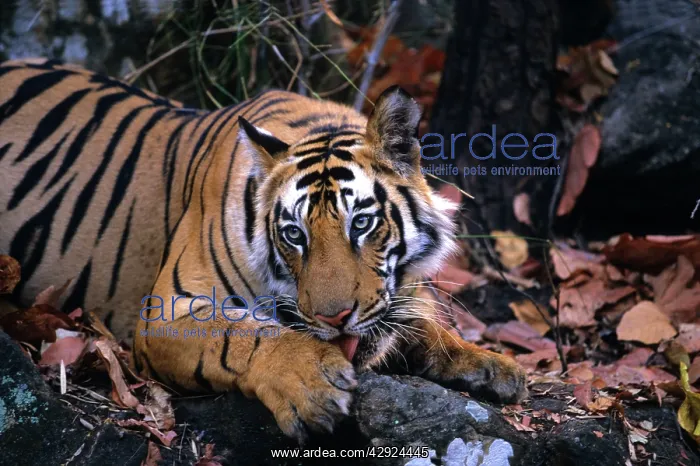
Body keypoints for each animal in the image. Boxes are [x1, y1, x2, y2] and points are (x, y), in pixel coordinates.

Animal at [0, 59, 526, 441]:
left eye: (361, 223)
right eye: (294, 235)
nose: (335, 318)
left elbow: (422, 324)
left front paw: (493, 366)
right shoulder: (165, 312)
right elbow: (242, 334)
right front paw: (312, 382)